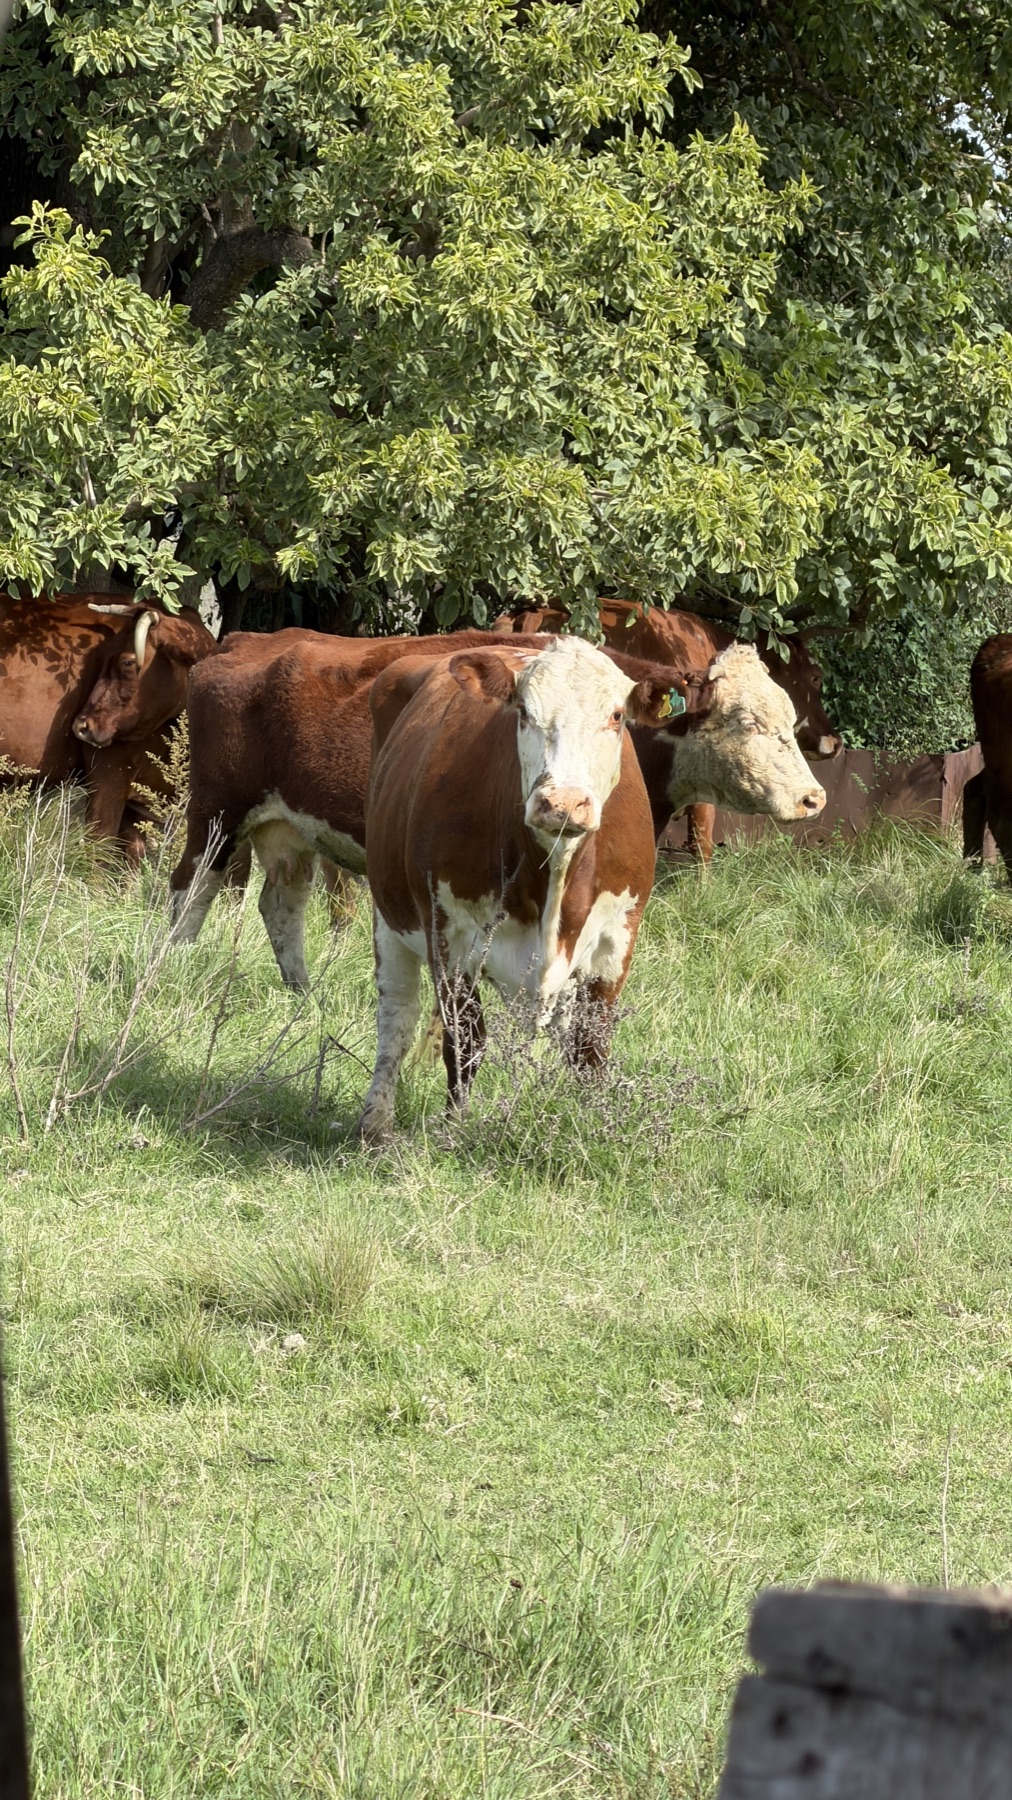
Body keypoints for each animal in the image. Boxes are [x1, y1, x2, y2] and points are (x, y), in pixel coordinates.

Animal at [0, 595, 215, 861]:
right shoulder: (108, 770)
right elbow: (100, 846)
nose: (81, 726)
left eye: (127, 662)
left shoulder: (141, 801)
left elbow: (134, 852)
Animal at [170, 627, 825, 990]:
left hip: (286, 830)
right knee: (189, 893)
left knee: (281, 905)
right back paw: (168, 976)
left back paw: (303, 995)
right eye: (747, 721)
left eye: (789, 718)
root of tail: (247, 641)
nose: (812, 796)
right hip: (215, 815)